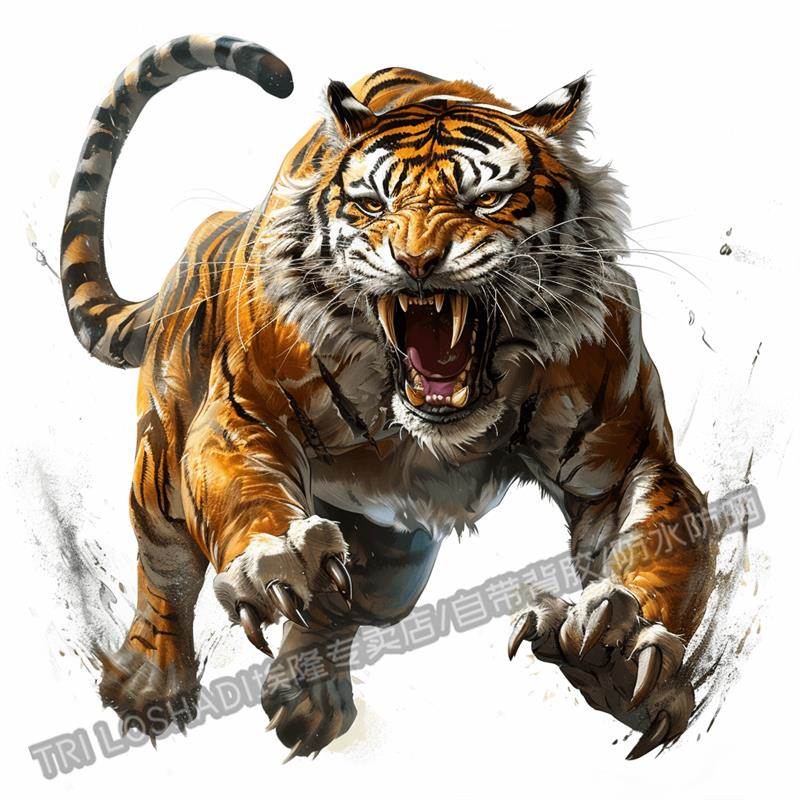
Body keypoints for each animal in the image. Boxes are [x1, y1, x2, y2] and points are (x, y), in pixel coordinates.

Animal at [60, 34, 717, 760]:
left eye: (487, 200)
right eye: (373, 204)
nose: (417, 261)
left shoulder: (625, 458)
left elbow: (665, 542)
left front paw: (614, 651)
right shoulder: (242, 413)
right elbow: (244, 498)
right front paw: (276, 558)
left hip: (393, 556)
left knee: (343, 604)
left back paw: (307, 697)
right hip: (164, 463)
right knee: (166, 566)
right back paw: (151, 684)